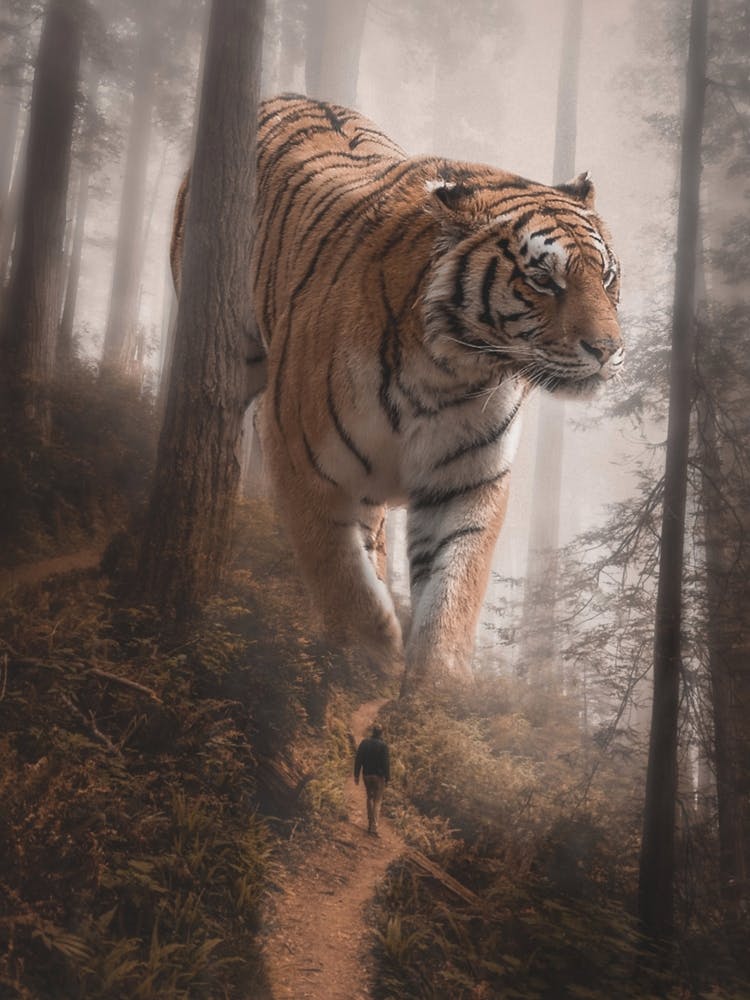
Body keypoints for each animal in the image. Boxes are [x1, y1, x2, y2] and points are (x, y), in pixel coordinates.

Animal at [171, 93, 623, 691]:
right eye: (544, 280)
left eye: (608, 277)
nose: (608, 349)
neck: (453, 371)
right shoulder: (300, 453)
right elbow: (341, 574)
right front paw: (367, 667)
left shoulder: (469, 478)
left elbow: (455, 587)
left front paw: (437, 688)